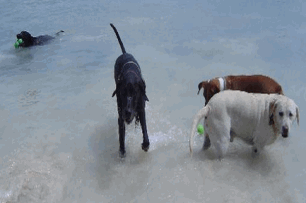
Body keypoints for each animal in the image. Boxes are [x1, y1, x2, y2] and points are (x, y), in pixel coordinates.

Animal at [110, 23, 150, 157]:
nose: (127, 112)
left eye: (135, 93)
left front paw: (145, 145)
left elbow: (144, 128)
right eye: (122, 92)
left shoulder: (141, 108)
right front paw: (122, 153)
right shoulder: (120, 115)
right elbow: (121, 136)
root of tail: (125, 53)